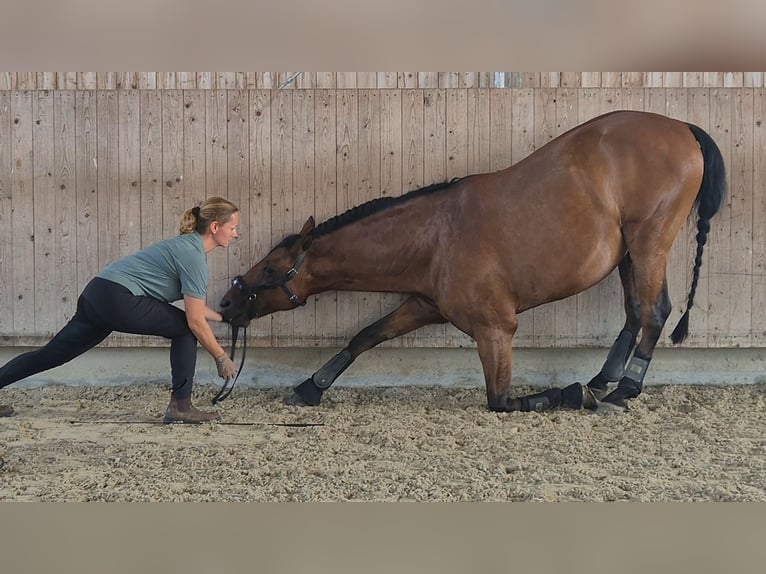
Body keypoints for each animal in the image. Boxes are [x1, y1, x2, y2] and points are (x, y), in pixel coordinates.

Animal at [219, 110, 726, 413]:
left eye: (270, 269)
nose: (226, 302)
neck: (435, 236)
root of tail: (682, 126)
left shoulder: (495, 330)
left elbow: (502, 400)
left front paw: (567, 393)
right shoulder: (422, 305)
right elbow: (365, 335)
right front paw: (311, 386)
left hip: (649, 246)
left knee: (653, 312)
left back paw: (621, 390)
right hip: (627, 257)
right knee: (634, 313)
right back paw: (605, 380)